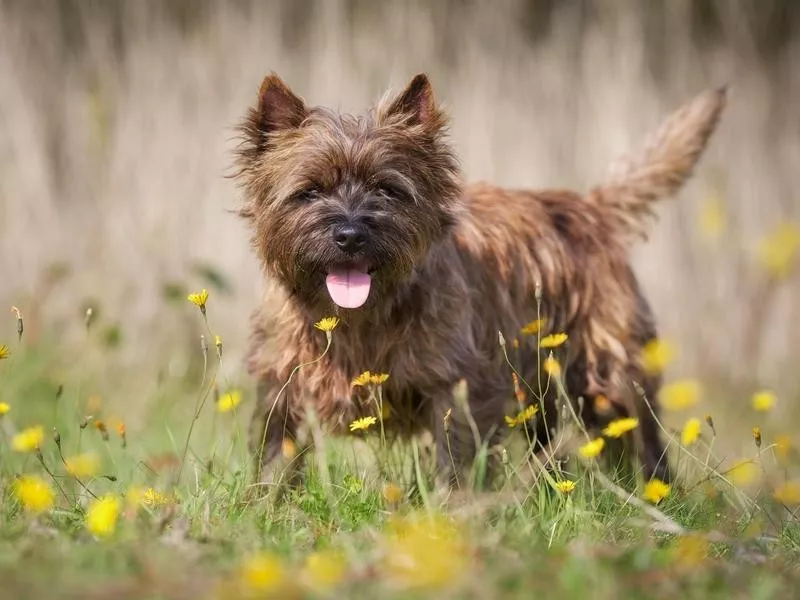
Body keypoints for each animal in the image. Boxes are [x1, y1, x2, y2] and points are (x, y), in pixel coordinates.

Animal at [230, 71, 724, 492]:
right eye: (309, 191)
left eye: (387, 190)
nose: (350, 234)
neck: (357, 319)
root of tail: (591, 207)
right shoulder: (281, 379)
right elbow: (275, 451)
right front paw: (267, 503)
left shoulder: (457, 385)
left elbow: (456, 457)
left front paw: (452, 513)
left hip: (610, 372)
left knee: (639, 437)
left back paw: (655, 495)